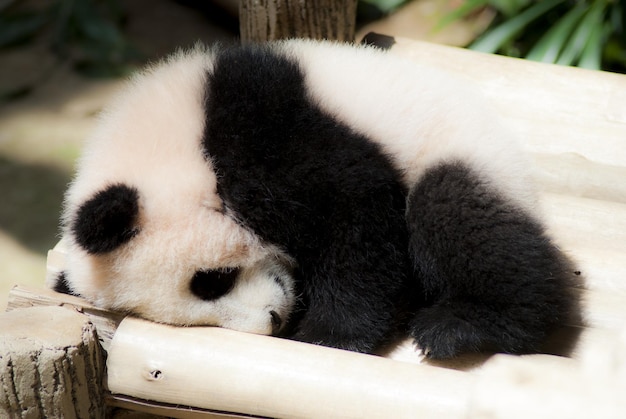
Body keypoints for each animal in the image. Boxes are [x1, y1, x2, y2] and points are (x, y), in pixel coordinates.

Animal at [51, 39, 576, 360]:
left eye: (210, 282)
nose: (273, 319)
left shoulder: (262, 137)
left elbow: (356, 217)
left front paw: (332, 335)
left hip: (465, 154)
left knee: (460, 218)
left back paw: (466, 324)